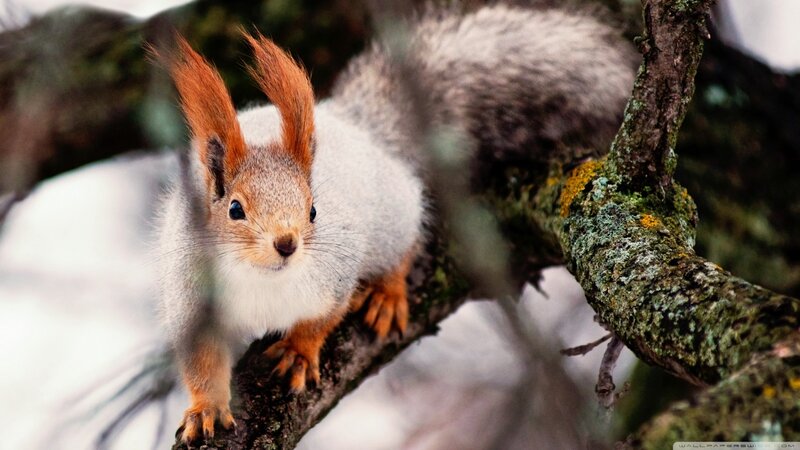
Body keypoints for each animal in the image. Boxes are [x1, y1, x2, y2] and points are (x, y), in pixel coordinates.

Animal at [156, 4, 635, 444]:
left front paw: (298, 350)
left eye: (313, 210)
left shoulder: (334, 275)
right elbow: (201, 362)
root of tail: (359, 127)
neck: (262, 279)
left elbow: (322, 318)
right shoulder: (192, 296)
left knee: (404, 244)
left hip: (392, 219)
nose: (287, 244)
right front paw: (205, 408)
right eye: (235, 209)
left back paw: (387, 293)